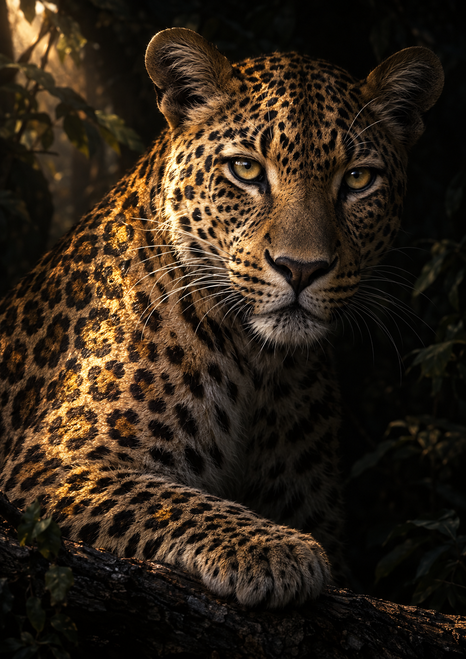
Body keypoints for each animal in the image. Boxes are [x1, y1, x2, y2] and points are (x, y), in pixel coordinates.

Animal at [0, 28, 443, 608]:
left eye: (358, 179)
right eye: (246, 169)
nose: (301, 269)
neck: (261, 365)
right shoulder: (46, 464)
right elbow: (163, 497)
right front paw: (274, 548)